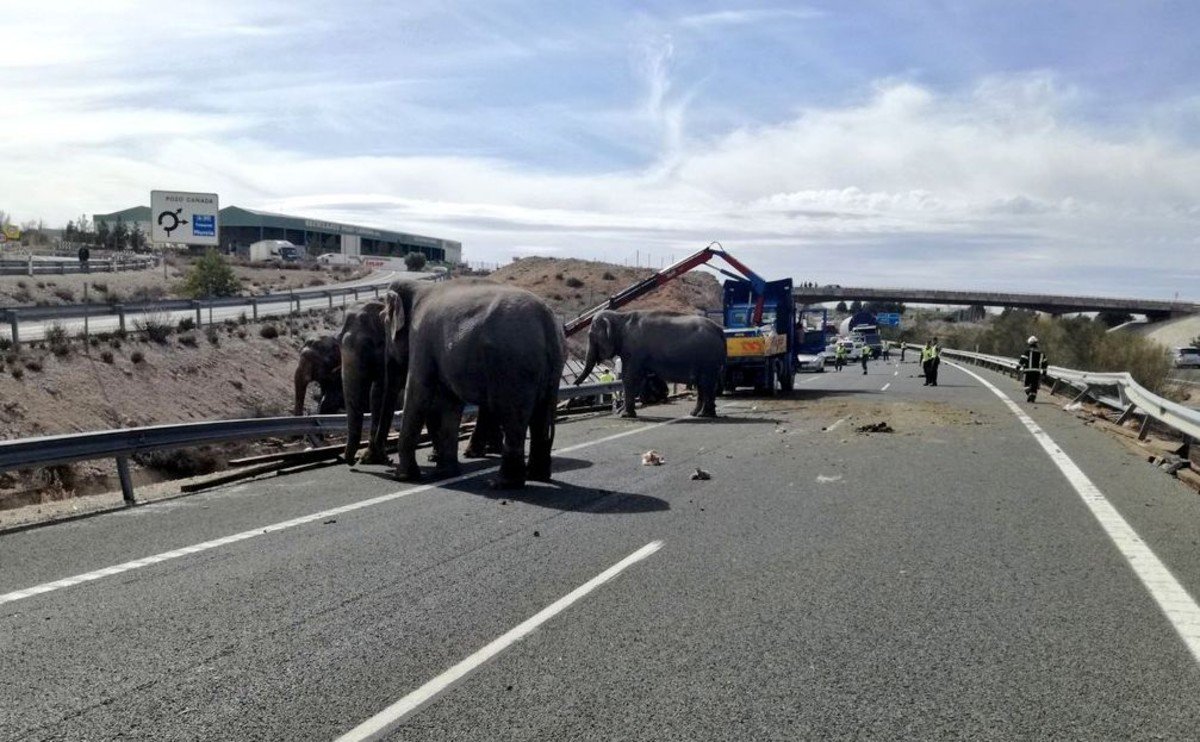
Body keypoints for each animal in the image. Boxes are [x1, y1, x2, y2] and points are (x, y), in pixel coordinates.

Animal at [379, 277, 566, 485]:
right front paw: (445, 473)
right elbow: (450, 403)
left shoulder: (421, 338)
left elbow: (418, 392)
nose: (386, 461)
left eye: (383, 324)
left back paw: (501, 483)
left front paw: (403, 477)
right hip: (551, 368)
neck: (419, 285)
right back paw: (537, 476)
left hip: (514, 366)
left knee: (513, 416)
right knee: (541, 416)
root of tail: (546, 320)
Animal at [576, 307, 724, 415]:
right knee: (703, 385)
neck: (620, 316)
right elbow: (635, 378)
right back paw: (698, 414)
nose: (576, 385)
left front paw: (625, 415)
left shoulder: (634, 350)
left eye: (590, 335)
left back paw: (704, 414)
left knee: (706, 384)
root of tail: (719, 330)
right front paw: (621, 412)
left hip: (708, 359)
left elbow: (630, 377)